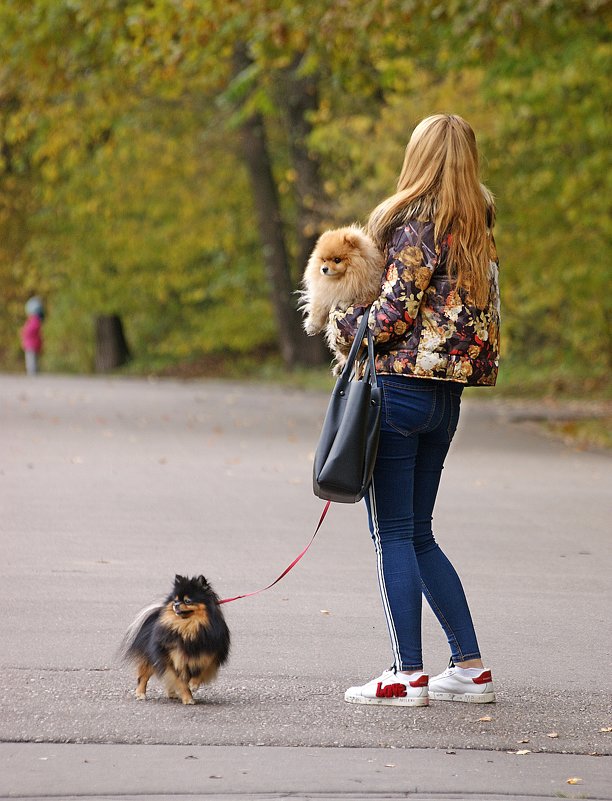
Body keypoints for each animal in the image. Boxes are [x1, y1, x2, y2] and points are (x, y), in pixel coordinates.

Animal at [120, 572, 231, 704]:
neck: (188, 628)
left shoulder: (208, 654)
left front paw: (194, 684)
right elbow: (181, 682)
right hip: (153, 658)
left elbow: (202, 670)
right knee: (143, 676)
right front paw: (188, 698)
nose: (176, 605)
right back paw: (140, 693)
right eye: (176, 600)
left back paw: (172, 694)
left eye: (187, 601)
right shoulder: (175, 658)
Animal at [300, 225, 382, 362]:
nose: (324, 269)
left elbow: (356, 297)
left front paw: (344, 302)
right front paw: (312, 326)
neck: (341, 280)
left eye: (337, 260)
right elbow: (318, 309)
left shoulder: (369, 290)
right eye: (324, 260)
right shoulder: (324, 294)